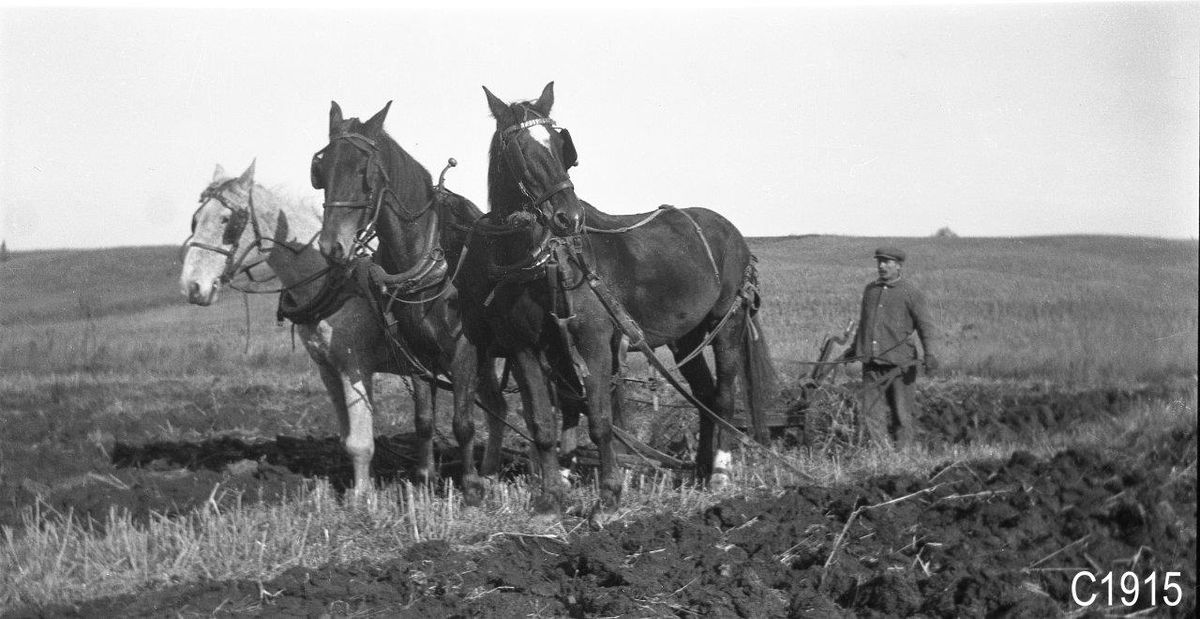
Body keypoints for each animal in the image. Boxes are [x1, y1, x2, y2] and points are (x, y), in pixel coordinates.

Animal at [176, 161, 506, 496]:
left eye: (228, 221)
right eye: (195, 220)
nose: (192, 287)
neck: (332, 284)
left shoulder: (355, 367)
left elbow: (361, 441)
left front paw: (362, 497)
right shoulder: (329, 370)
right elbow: (347, 438)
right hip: (481, 361)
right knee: (498, 406)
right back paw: (490, 472)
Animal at [307, 101, 513, 506]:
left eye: (363, 171)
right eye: (321, 171)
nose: (331, 246)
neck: (426, 253)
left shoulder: (463, 352)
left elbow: (463, 424)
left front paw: (469, 485)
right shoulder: (416, 354)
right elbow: (424, 422)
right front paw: (425, 479)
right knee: (498, 407)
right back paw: (491, 470)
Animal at [468, 80, 777, 518]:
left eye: (560, 145)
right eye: (523, 150)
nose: (569, 218)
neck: (541, 262)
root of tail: (732, 232)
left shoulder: (594, 342)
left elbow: (599, 419)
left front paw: (609, 495)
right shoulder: (525, 347)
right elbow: (541, 423)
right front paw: (549, 498)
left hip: (726, 323)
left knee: (723, 393)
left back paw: (720, 471)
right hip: (686, 334)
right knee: (702, 393)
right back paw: (699, 470)